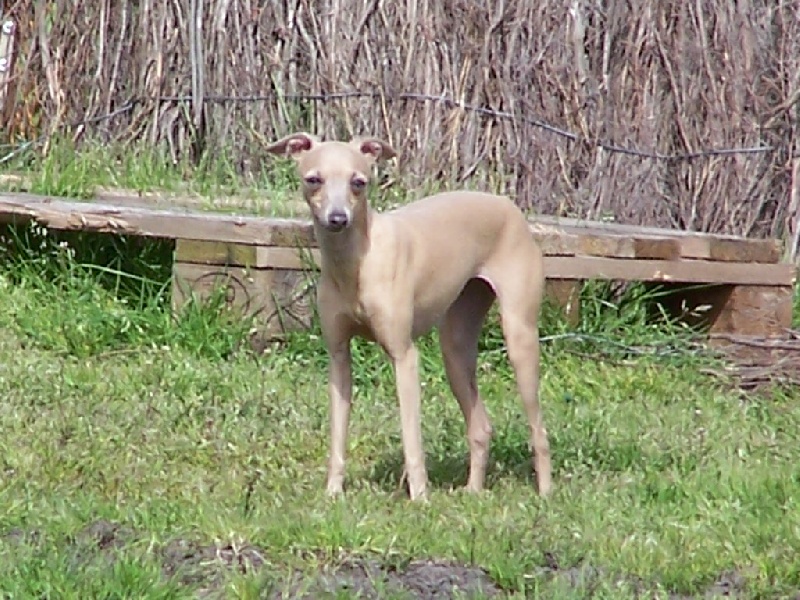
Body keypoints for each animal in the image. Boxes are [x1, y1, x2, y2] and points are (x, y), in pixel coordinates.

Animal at [264, 132, 552, 502]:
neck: (356, 264)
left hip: (520, 338)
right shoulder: (339, 357)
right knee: (480, 425)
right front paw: (333, 492)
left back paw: (546, 492)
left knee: (538, 430)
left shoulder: (404, 355)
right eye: (314, 179)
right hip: (456, 346)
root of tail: (508, 204)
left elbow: (411, 437)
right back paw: (473, 490)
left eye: (359, 182)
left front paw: (421, 499)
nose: (338, 219)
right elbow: (338, 436)